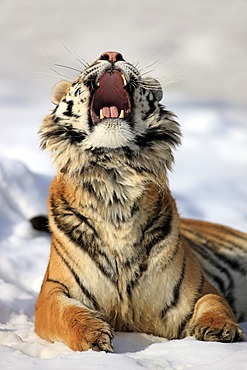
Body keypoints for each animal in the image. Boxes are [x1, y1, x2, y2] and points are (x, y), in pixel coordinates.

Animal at [35, 50, 247, 352]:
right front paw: (93, 335)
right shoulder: (53, 290)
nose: (112, 53)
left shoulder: (198, 290)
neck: (115, 184)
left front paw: (220, 330)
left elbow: (214, 303)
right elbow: (65, 313)